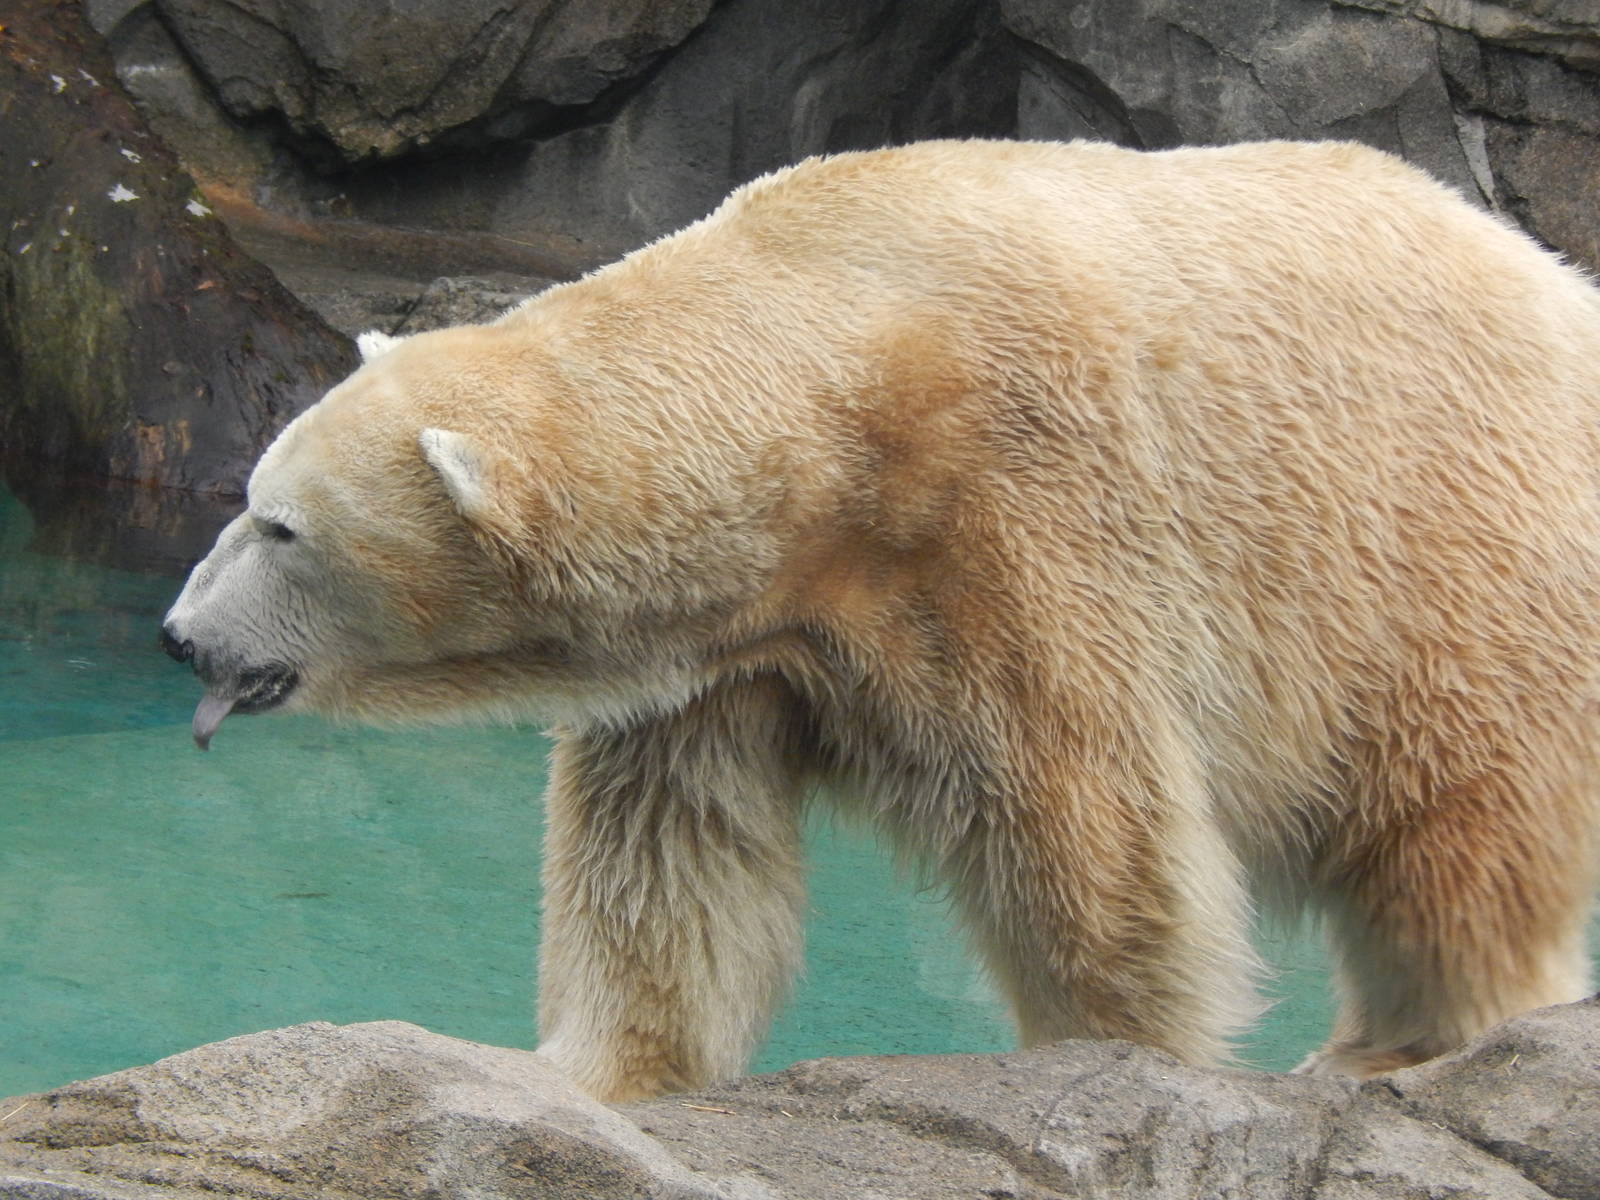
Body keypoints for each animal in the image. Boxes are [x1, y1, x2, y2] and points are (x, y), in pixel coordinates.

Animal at [161, 139, 1600, 1101]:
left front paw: (1111, 1057)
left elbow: (1089, 830)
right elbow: (671, 855)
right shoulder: (726, 645)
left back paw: (1394, 1043)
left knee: (1454, 821)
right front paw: (591, 1073)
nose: (180, 634)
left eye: (280, 526)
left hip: (1440, 547)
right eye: (249, 501)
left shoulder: (1010, 523)